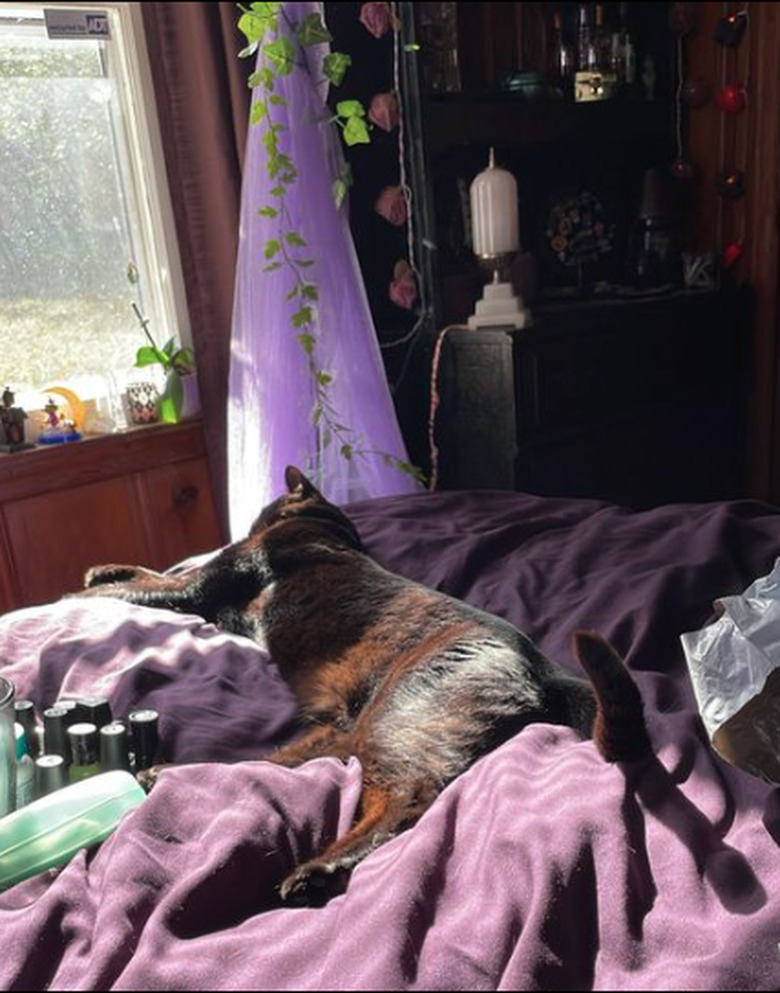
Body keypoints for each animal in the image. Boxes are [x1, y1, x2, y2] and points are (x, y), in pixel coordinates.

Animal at [82, 464, 648, 900]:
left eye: (268, 507)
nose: (252, 517)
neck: (330, 529)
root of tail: (543, 664)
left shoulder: (209, 580)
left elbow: (149, 586)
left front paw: (87, 591)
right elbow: (150, 573)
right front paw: (101, 570)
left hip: (396, 718)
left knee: (404, 800)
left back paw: (313, 871)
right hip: (350, 731)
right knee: (265, 768)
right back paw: (160, 774)